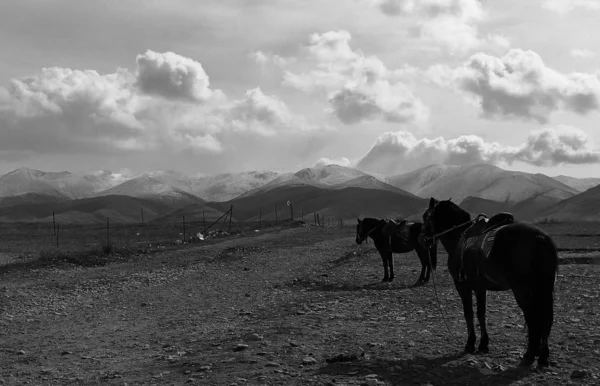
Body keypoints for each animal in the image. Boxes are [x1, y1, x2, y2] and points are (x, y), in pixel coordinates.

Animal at [422, 198, 556, 370]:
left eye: (426, 217)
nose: (423, 239)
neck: (459, 238)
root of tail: (541, 238)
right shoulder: (480, 288)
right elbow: (481, 313)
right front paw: (483, 344)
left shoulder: (463, 285)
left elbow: (469, 313)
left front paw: (471, 344)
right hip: (542, 288)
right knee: (545, 318)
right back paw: (543, 356)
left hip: (523, 290)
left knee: (533, 317)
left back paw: (530, 354)